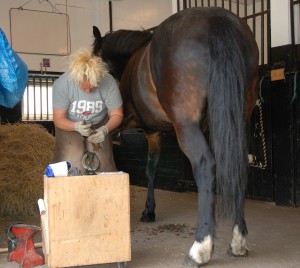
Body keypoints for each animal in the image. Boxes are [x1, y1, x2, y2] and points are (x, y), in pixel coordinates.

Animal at [92, 6, 258, 266]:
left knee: (205, 165)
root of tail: (216, 19)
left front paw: (147, 211)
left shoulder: (144, 128)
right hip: (238, 119)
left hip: (187, 126)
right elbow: (153, 169)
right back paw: (238, 240)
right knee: (238, 166)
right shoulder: (156, 133)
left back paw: (200, 247)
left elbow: (149, 170)